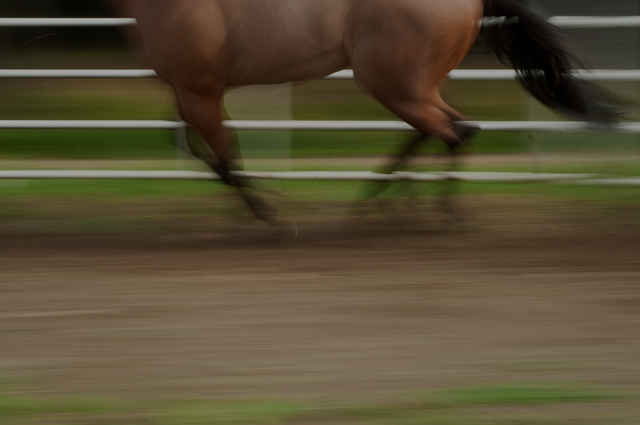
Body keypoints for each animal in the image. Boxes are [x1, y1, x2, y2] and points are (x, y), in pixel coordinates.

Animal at [110, 0, 624, 224]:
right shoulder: (191, 90)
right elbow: (197, 146)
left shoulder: (198, 89)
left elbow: (221, 150)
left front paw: (267, 211)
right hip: (409, 85)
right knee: (451, 127)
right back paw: (386, 196)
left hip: (391, 83)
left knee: (454, 130)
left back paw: (429, 204)